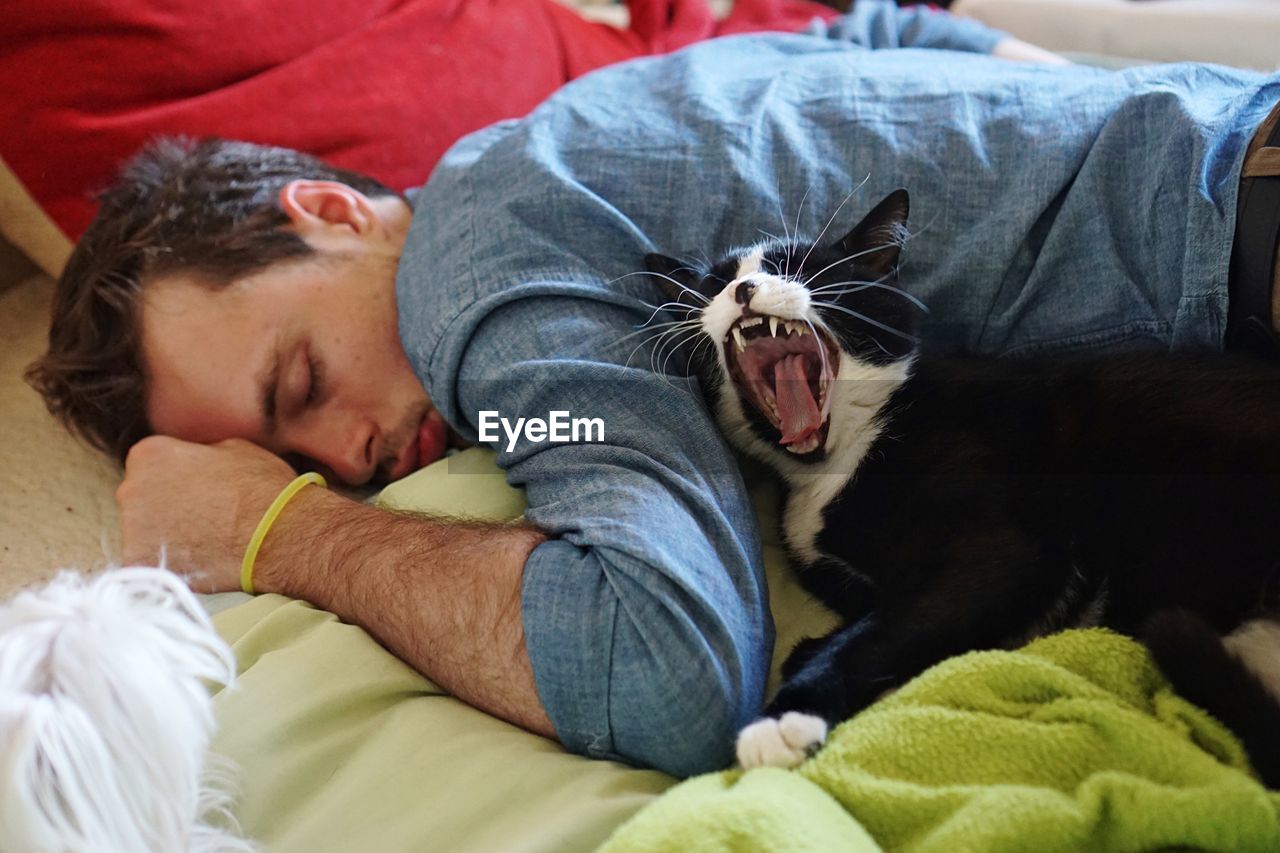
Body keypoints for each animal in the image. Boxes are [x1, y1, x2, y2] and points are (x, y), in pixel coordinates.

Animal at [645, 189, 1280, 778]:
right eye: (715, 285)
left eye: (797, 268)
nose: (744, 290)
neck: (836, 461)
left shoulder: (1007, 551)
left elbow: (890, 625)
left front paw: (784, 716)